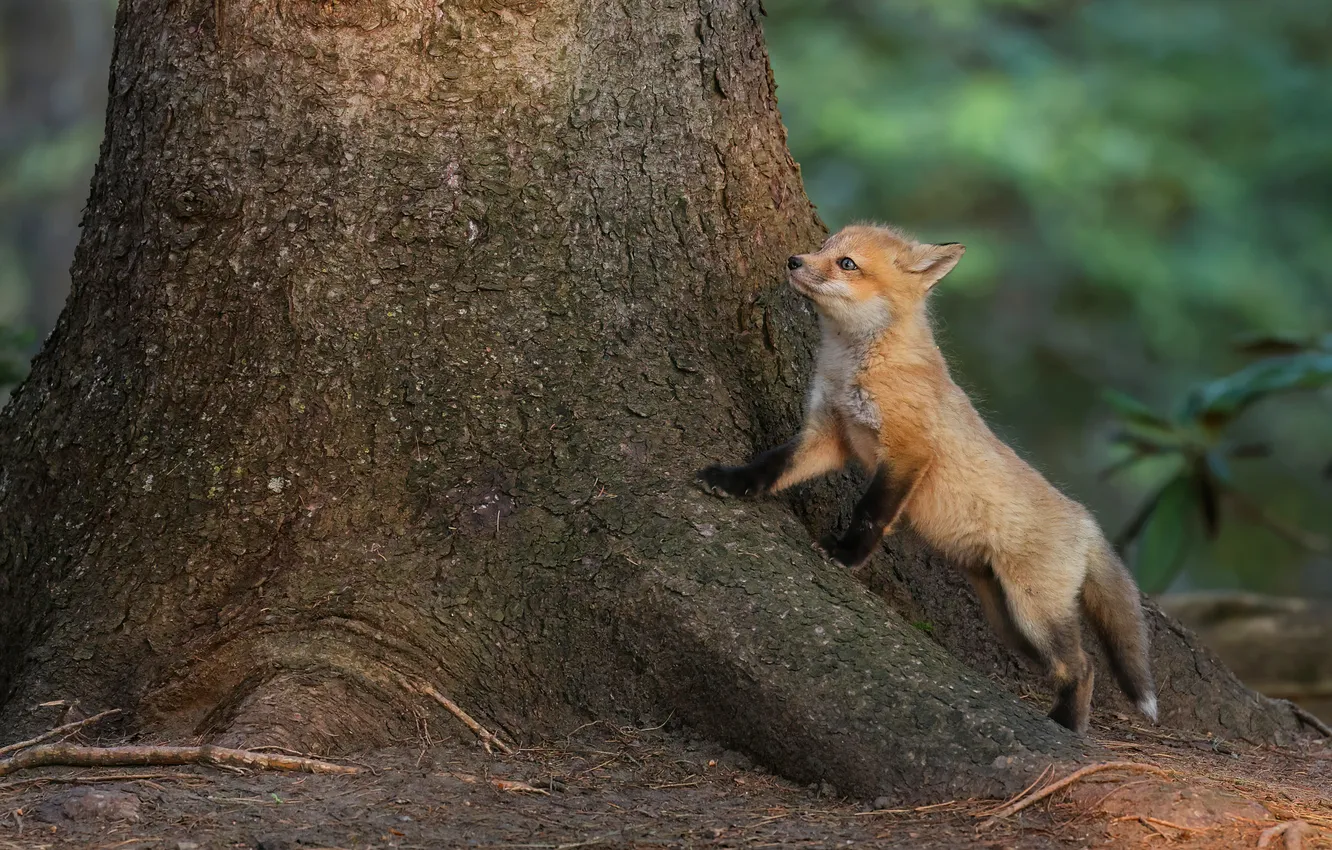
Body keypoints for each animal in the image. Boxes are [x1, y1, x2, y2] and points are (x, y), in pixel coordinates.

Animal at [698, 223, 1156, 734]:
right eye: (824, 246)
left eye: (847, 263)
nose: (793, 260)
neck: (859, 365)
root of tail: (1084, 517)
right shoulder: (827, 436)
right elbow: (771, 466)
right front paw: (732, 482)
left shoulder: (908, 452)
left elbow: (871, 511)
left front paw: (847, 555)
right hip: (1009, 621)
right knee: (1066, 665)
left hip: (1033, 609)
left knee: (1083, 666)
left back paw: (1068, 725)